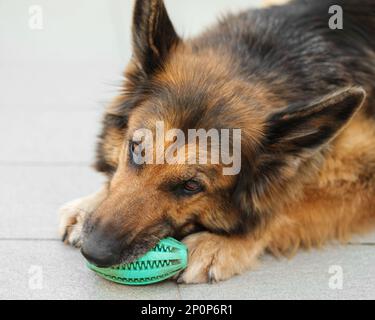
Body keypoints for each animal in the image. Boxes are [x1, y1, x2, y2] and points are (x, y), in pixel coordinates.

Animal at [58, 0, 375, 284]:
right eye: (136, 149)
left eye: (191, 186)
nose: (94, 252)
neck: (272, 59)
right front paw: (90, 203)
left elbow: (283, 207)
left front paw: (217, 245)